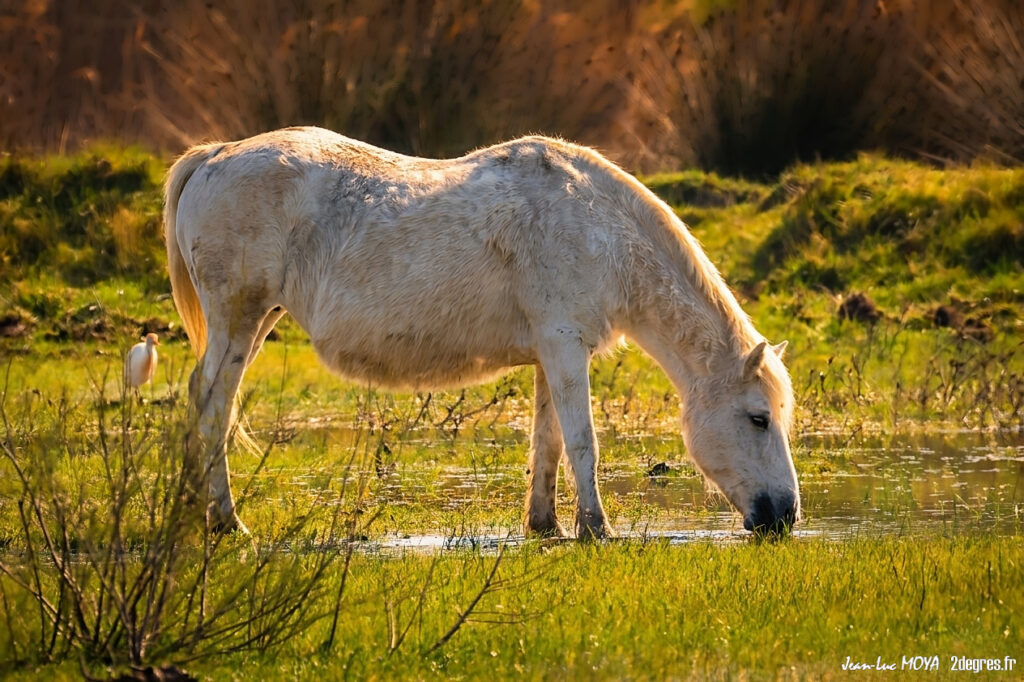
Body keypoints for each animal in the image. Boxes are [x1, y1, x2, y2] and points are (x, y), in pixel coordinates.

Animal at [164, 127, 800, 538]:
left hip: (256, 320)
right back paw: (226, 522)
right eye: (758, 419)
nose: (785, 517)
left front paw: (545, 527)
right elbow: (583, 443)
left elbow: (548, 444)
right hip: (238, 319)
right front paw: (597, 530)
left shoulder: (551, 353)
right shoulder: (565, 346)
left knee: (203, 400)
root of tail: (217, 156)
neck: (598, 226)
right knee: (214, 405)